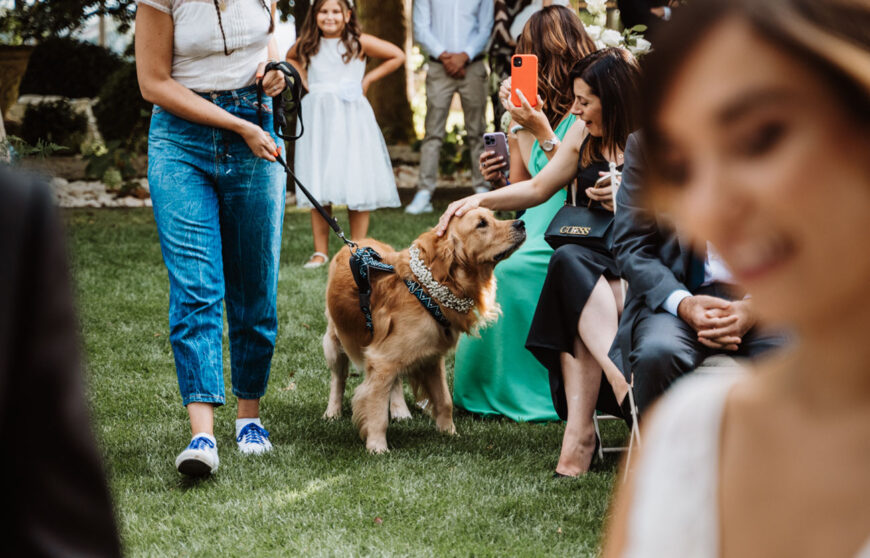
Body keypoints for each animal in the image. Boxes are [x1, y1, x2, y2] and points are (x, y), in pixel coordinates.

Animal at [320, 208, 524, 452]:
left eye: (494, 216)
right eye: (482, 224)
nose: (521, 224)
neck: (428, 289)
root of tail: (352, 243)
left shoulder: (430, 357)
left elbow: (444, 400)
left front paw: (449, 433)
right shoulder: (382, 358)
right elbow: (377, 410)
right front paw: (377, 447)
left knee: (395, 382)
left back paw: (400, 409)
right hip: (335, 339)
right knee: (338, 378)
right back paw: (333, 411)